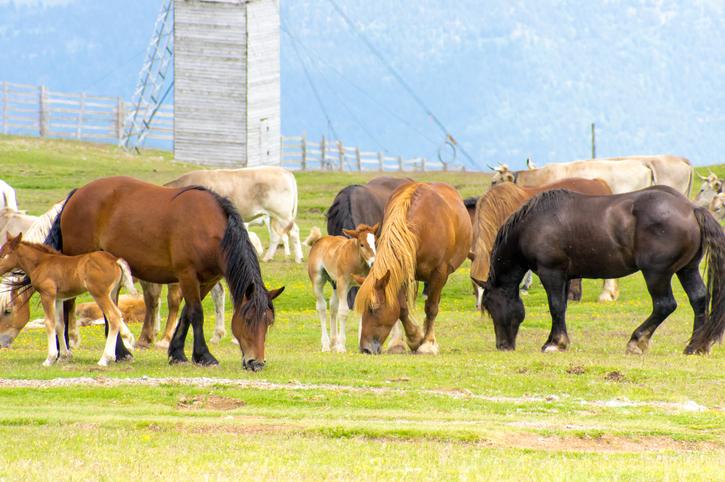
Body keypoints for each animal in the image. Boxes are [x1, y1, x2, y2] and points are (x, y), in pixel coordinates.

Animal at [0, 233, 137, 366]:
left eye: (4, 255)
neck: (40, 263)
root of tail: (115, 260)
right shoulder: (58, 298)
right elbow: (60, 325)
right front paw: (64, 356)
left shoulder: (47, 295)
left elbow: (49, 323)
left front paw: (50, 359)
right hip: (112, 293)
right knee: (118, 314)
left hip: (99, 293)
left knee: (113, 316)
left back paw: (104, 359)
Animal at [306, 224, 378, 352]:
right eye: (362, 244)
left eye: (375, 242)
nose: (373, 263)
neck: (357, 261)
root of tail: (318, 240)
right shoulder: (343, 283)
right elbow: (343, 312)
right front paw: (341, 347)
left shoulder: (362, 284)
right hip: (319, 281)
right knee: (322, 307)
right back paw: (326, 344)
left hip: (335, 284)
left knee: (333, 306)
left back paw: (334, 342)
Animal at [352, 183, 470, 356]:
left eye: (373, 308)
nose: (365, 349)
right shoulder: (401, 272)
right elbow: (401, 308)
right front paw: (413, 338)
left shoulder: (439, 273)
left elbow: (431, 308)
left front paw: (427, 343)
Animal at [476, 186, 724, 356]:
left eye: (491, 305)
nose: (503, 346)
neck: (534, 224)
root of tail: (692, 208)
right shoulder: (566, 277)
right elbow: (562, 307)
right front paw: (558, 341)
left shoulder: (551, 273)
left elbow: (555, 306)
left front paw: (554, 343)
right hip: (687, 269)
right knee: (699, 299)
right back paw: (695, 346)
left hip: (656, 274)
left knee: (665, 305)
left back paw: (637, 341)